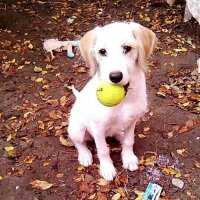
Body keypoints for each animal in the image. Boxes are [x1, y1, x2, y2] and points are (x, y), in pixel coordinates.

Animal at [68, 22, 157, 181]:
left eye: (127, 48)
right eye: (102, 51)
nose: (115, 76)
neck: (124, 100)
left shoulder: (133, 120)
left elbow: (129, 141)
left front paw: (128, 158)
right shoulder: (97, 128)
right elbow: (103, 150)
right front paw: (107, 168)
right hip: (77, 129)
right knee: (78, 142)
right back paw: (84, 154)